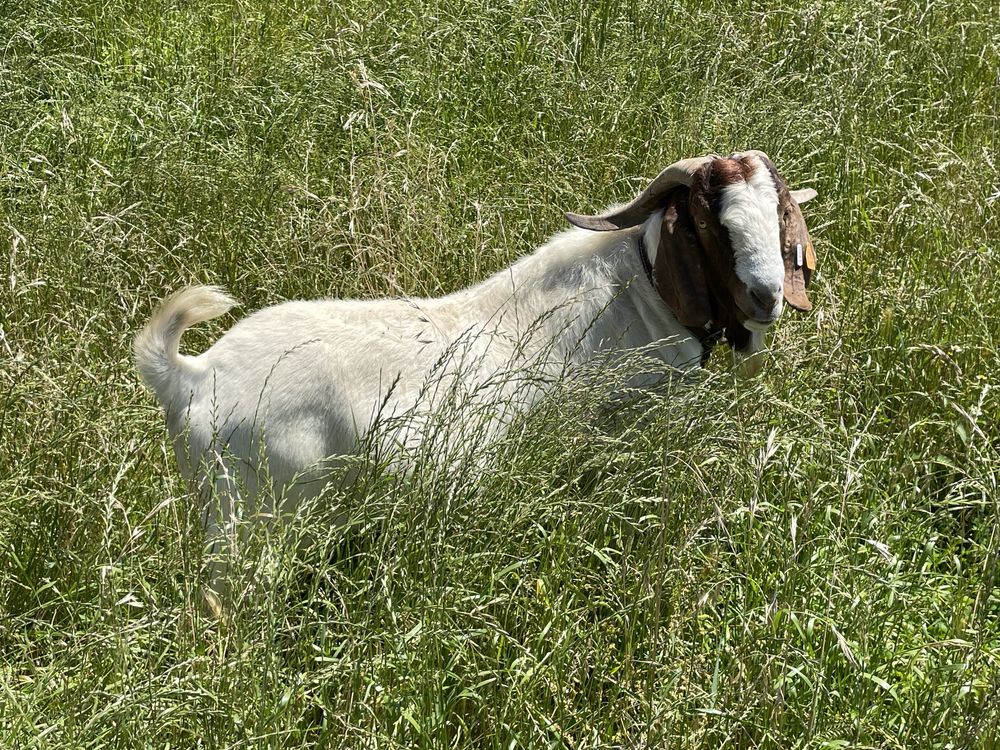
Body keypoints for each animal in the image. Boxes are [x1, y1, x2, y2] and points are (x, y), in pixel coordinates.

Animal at [135, 151, 820, 600]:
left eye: (780, 212)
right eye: (710, 221)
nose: (766, 297)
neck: (640, 292)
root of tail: (191, 375)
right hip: (255, 524)